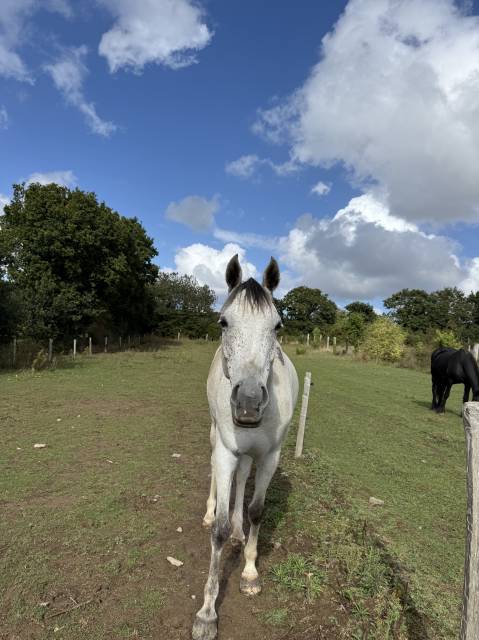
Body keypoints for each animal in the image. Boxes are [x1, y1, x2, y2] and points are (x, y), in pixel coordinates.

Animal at [192, 255, 299, 640]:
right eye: (224, 322)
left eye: (277, 325)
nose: (249, 404)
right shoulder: (226, 451)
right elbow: (220, 530)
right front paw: (207, 613)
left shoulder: (269, 456)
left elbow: (256, 510)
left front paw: (250, 572)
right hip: (215, 438)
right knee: (215, 472)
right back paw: (209, 512)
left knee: (242, 478)